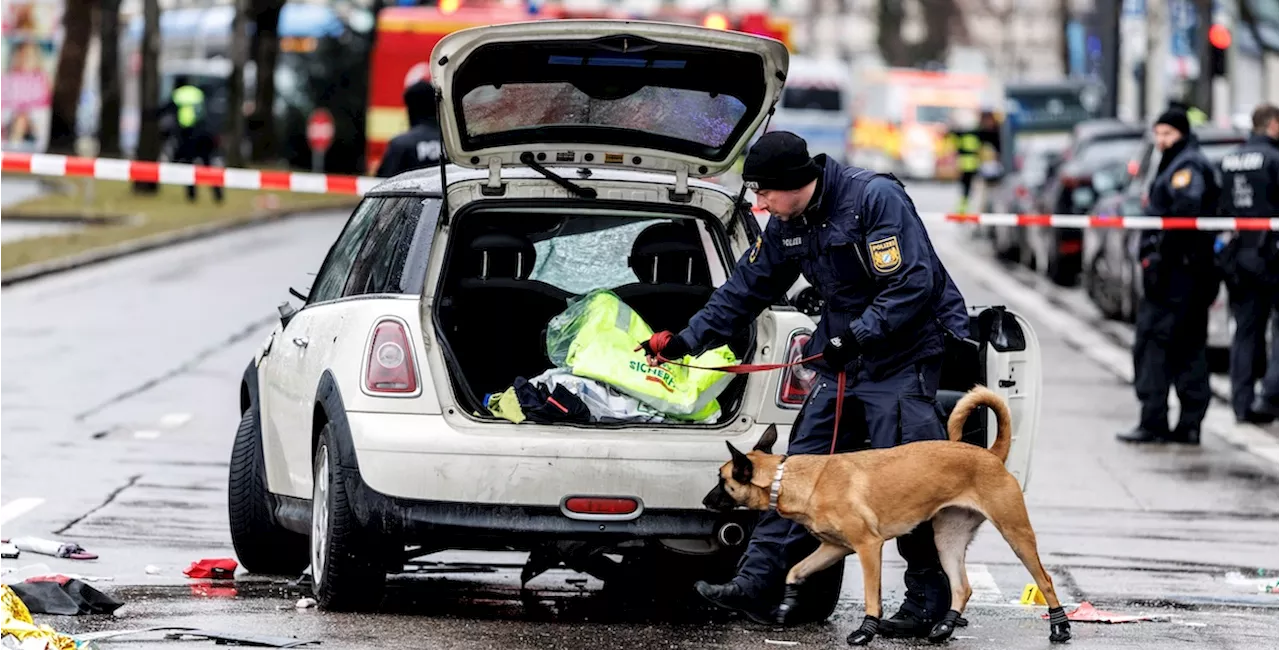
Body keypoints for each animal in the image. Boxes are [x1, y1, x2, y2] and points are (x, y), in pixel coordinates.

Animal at [701, 386, 1070, 644]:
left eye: (721, 480)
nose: (705, 501)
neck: (789, 477)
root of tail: (991, 454)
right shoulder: (834, 548)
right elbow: (794, 570)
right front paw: (787, 604)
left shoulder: (868, 547)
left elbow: (870, 596)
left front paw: (866, 631)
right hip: (947, 540)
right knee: (962, 587)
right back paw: (945, 626)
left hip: (1016, 534)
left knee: (1045, 580)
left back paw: (1060, 627)